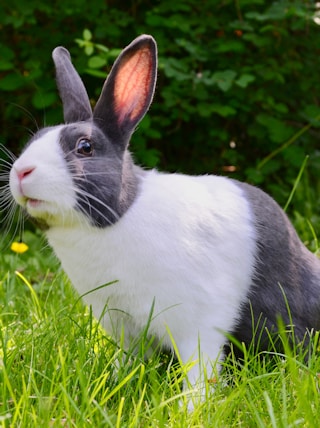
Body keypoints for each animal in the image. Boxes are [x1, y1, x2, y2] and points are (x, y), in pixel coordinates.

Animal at [8, 35, 320, 400]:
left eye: (85, 147)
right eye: (33, 139)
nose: (21, 172)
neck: (117, 218)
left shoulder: (198, 322)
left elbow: (200, 371)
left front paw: (191, 406)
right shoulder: (124, 325)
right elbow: (128, 361)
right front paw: (115, 385)